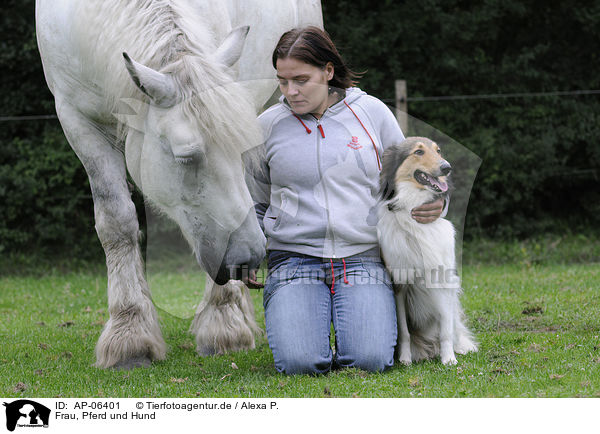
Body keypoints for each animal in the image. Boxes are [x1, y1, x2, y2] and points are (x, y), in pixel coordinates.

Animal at [35, 0, 322, 370]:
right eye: (186, 156)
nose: (248, 257)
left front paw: (224, 325)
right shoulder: (76, 120)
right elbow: (116, 223)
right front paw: (130, 335)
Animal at [378, 137, 476, 364]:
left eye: (438, 151)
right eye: (418, 152)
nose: (447, 167)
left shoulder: (443, 281)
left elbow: (446, 330)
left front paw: (449, 359)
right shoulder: (400, 284)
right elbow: (404, 332)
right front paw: (405, 359)